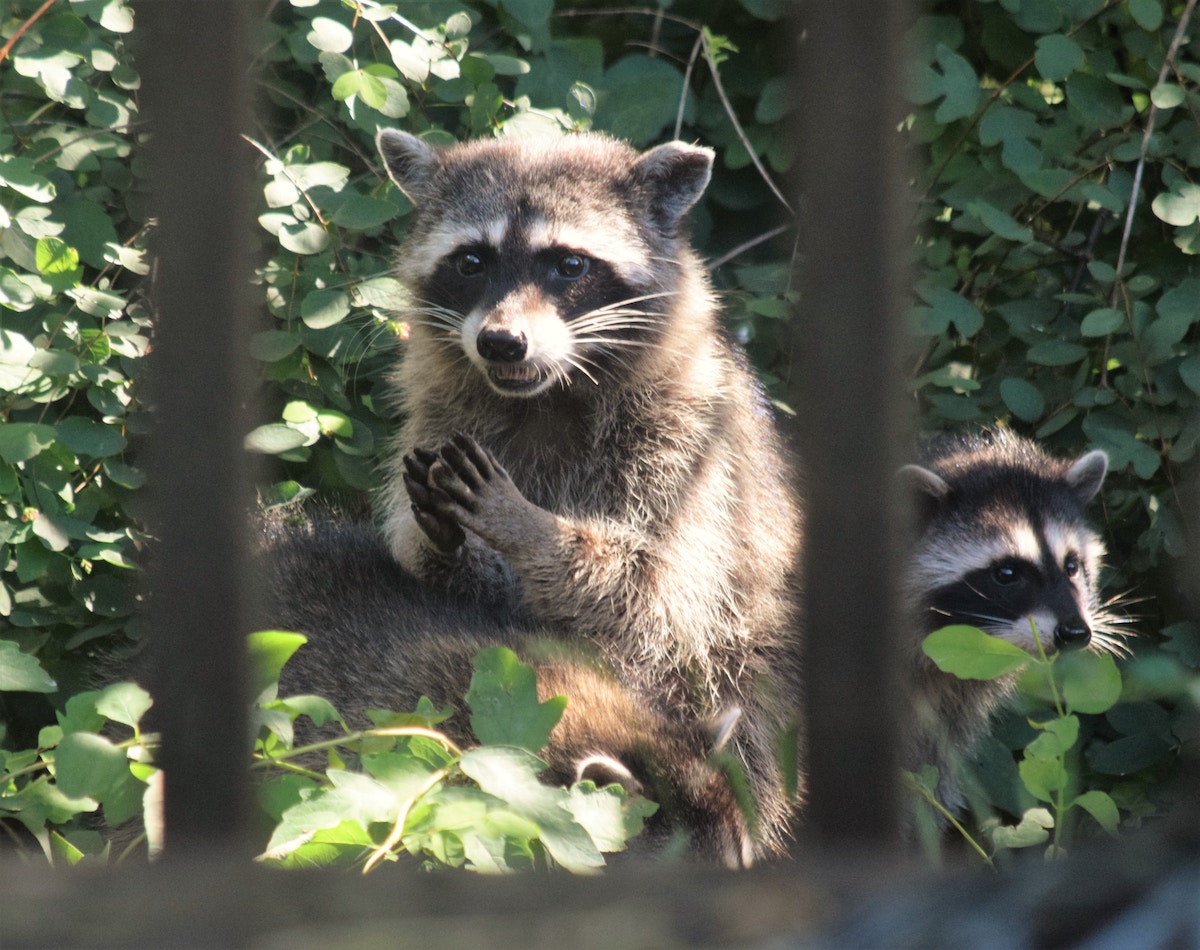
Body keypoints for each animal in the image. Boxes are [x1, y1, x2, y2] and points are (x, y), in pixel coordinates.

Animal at [372, 130, 804, 857]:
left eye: (569, 264)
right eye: (471, 260)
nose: (501, 342)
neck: (546, 396)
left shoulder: (689, 450)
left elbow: (648, 597)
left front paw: (531, 527)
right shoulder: (440, 418)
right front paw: (446, 543)